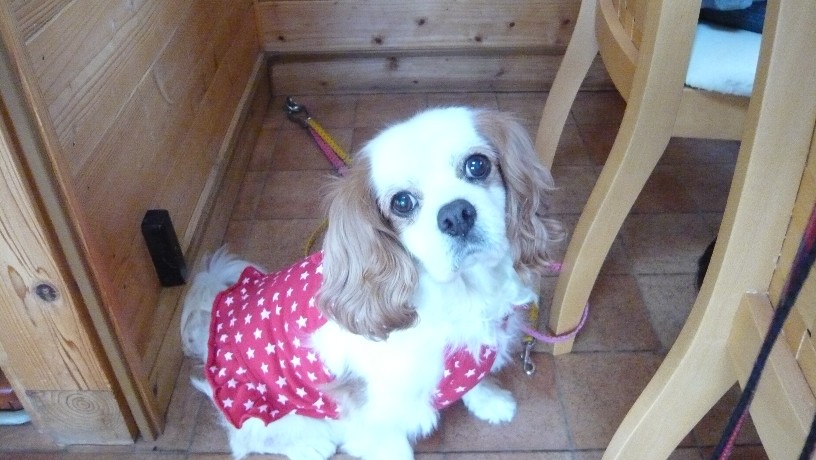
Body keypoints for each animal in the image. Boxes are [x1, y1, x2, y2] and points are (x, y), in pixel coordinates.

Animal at [181, 107, 563, 460]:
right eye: (402, 202)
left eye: (477, 165)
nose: (456, 215)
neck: (462, 293)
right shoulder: (373, 414)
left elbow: (472, 383)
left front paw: (490, 401)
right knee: (249, 438)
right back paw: (310, 446)